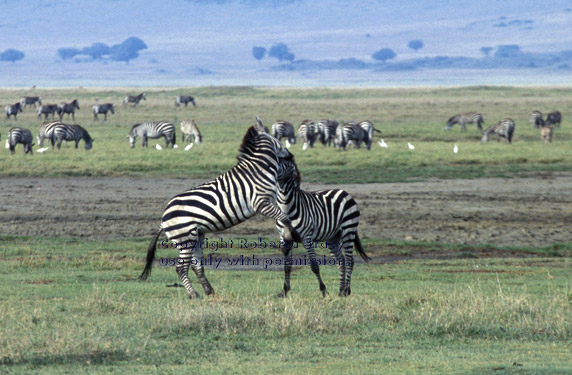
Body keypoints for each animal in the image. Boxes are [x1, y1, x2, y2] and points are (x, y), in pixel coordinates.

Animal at [139, 119, 302, 302]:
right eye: (280, 142)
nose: (292, 155)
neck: (260, 168)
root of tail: (163, 217)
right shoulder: (262, 203)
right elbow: (285, 218)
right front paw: (292, 235)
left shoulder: (266, 203)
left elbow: (284, 217)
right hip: (185, 237)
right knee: (181, 268)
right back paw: (193, 294)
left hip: (196, 235)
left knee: (196, 265)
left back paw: (209, 291)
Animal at [276, 158, 370, 296]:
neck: (286, 207)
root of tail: (344, 192)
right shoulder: (284, 237)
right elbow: (287, 266)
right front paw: (284, 291)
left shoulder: (307, 237)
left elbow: (314, 266)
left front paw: (324, 290)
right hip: (333, 237)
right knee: (341, 261)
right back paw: (340, 291)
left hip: (349, 230)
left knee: (349, 260)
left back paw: (346, 290)